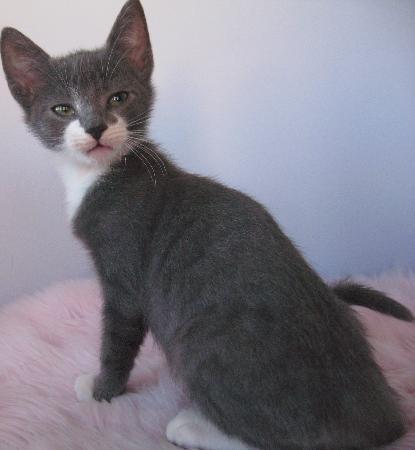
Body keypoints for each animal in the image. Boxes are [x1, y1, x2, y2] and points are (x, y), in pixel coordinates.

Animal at [1, 1, 412, 448]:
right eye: (63, 109)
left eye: (118, 97)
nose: (95, 127)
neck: (100, 174)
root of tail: (383, 419)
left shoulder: (124, 272)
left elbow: (117, 338)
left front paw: (101, 390)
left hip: (198, 344)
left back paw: (193, 426)